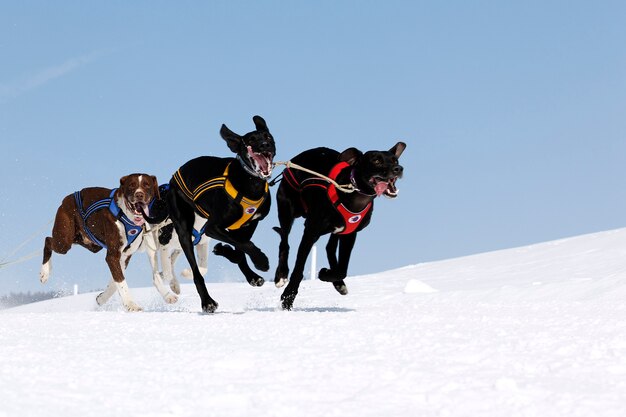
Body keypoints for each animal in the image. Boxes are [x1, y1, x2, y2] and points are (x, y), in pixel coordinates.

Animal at [39, 173, 160, 312]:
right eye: (132, 185)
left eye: (147, 185)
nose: (139, 194)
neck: (126, 216)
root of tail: (67, 198)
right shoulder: (113, 255)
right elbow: (121, 281)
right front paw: (131, 304)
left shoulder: (125, 255)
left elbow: (116, 281)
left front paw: (101, 298)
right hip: (64, 241)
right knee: (48, 240)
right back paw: (45, 273)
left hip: (89, 243)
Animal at [272, 143, 404, 308]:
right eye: (376, 160)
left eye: (395, 160)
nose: (398, 169)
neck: (352, 194)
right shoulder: (310, 232)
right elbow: (298, 268)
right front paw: (288, 297)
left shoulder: (349, 234)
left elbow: (342, 269)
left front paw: (326, 274)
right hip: (287, 210)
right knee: (284, 241)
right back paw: (281, 275)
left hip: (337, 230)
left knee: (329, 247)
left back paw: (338, 283)